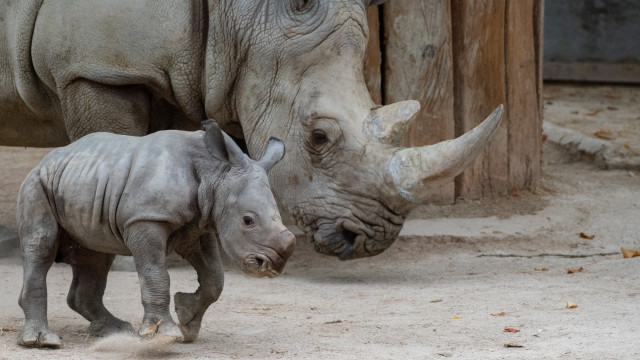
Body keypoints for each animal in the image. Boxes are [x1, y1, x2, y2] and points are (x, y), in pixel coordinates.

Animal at [15, 121, 296, 348]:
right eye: (248, 221)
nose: (272, 265)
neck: (214, 172)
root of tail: (46, 160)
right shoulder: (146, 218)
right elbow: (156, 276)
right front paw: (164, 334)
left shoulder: (199, 226)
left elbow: (215, 277)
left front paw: (187, 321)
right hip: (37, 183)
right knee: (42, 245)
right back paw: (41, 341)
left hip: (83, 180)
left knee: (96, 256)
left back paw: (116, 331)